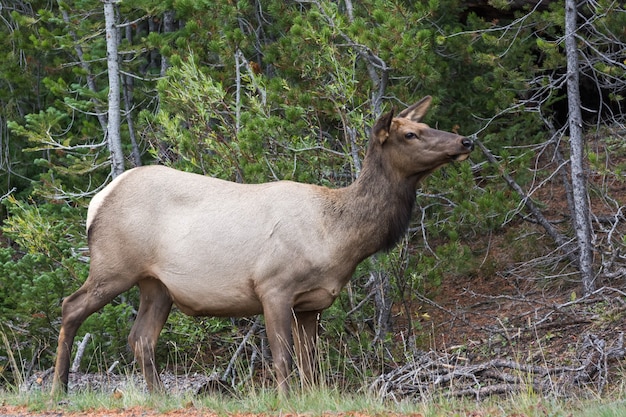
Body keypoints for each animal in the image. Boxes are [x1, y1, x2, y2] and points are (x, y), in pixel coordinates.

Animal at [51, 96, 470, 394]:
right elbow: (283, 360)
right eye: (409, 134)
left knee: (140, 337)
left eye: (425, 124)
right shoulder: (273, 286)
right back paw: (59, 389)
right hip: (114, 265)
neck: (337, 237)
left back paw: (158, 397)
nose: (466, 139)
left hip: (157, 285)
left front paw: (312, 397)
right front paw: (286, 400)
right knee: (71, 306)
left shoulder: (311, 304)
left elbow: (310, 363)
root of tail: (97, 201)